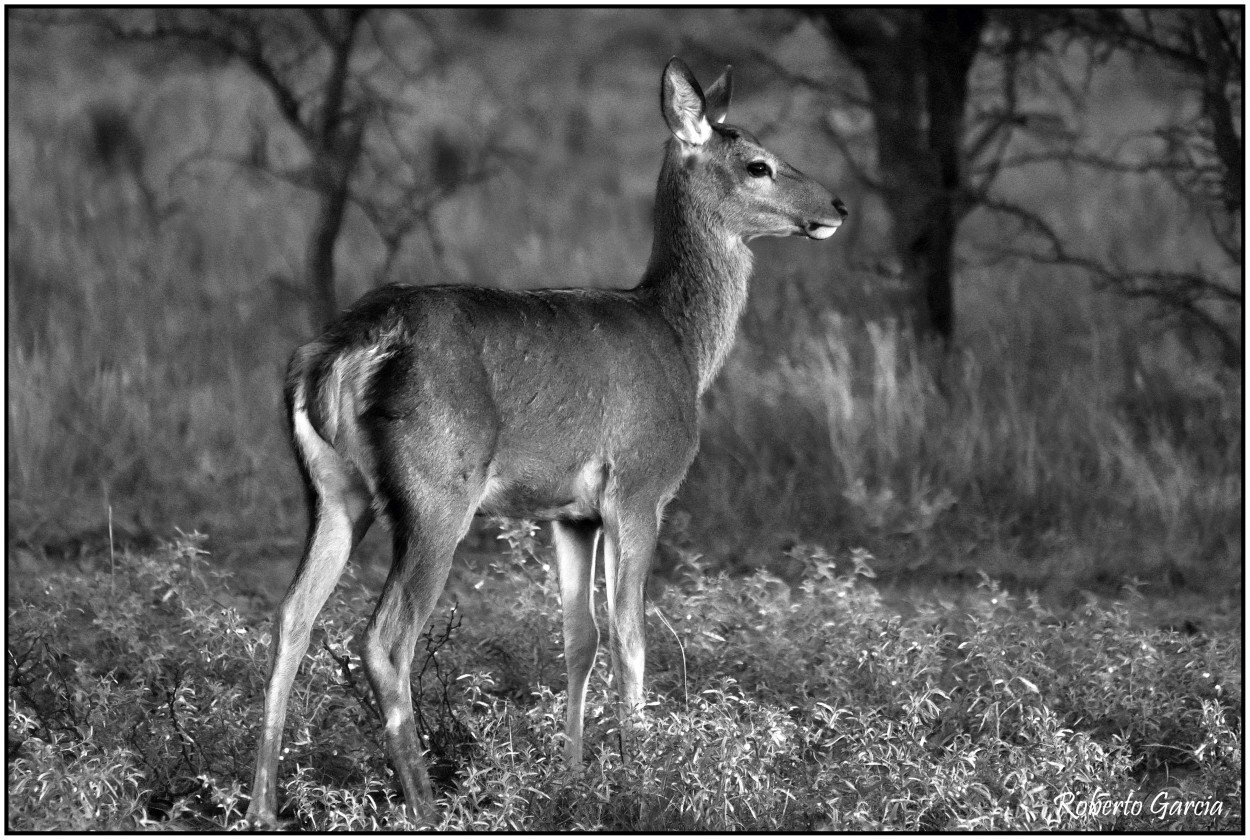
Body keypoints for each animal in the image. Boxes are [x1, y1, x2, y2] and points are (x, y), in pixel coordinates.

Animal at [245, 59, 845, 825]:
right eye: (757, 163)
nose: (836, 206)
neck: (682, 343)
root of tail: (340, 347)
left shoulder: (571, 514)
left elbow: (577, 637)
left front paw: (575, 776)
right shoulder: (640, 488)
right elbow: (630, 636)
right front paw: (643, 780)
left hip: (330, 489)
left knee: (291, 614)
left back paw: (262, 808)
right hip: (436, 490)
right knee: (384, 638)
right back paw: (428, 806)